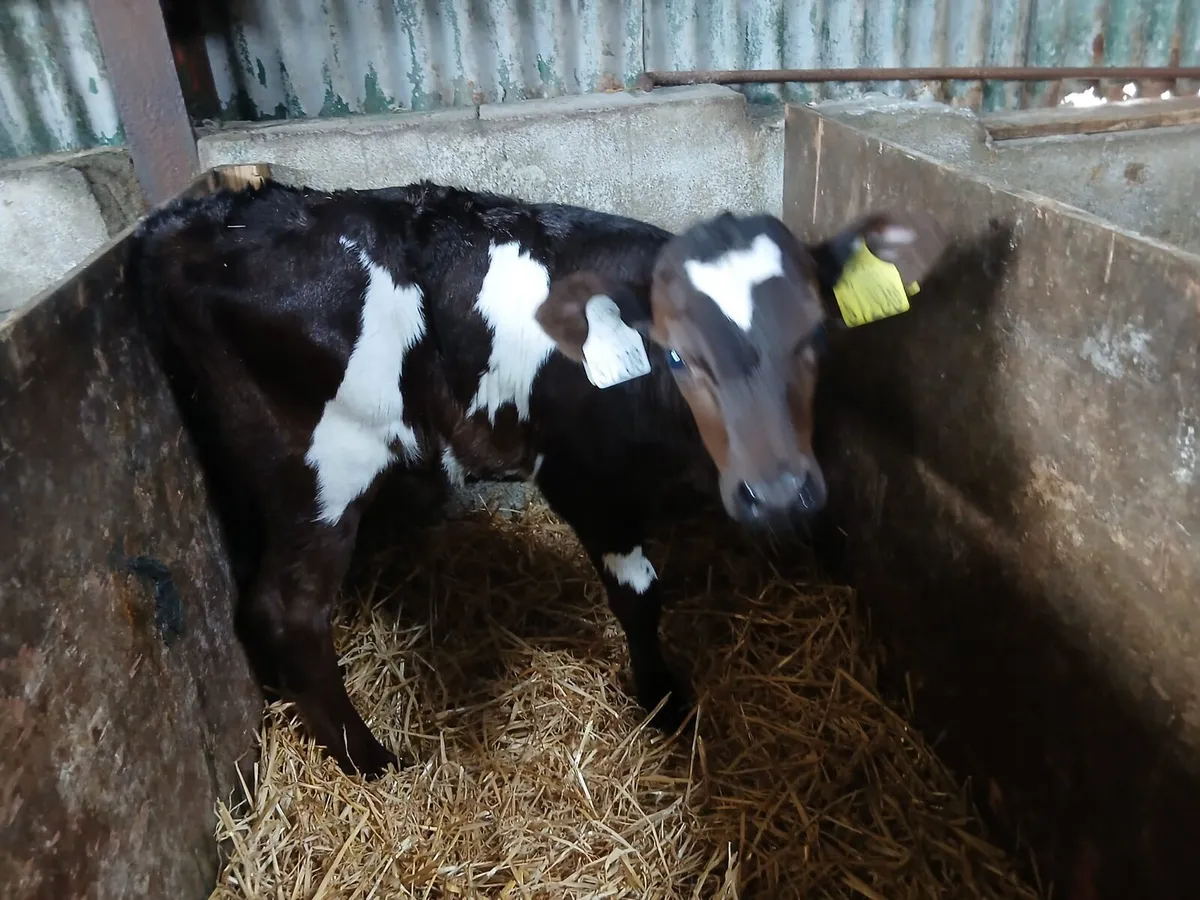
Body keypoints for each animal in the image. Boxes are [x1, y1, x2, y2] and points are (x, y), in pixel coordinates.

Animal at [127, 179, 946, 778]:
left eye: (816, 336)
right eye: (679, 355)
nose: (777, 492)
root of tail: (195, 222)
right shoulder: (581, 478)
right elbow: (639, 595)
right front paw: (660, 699)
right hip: (321, 464)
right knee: (285, 610)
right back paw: (374, 763)